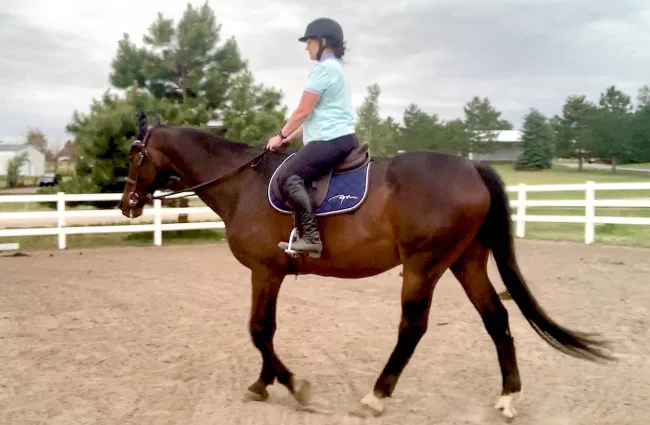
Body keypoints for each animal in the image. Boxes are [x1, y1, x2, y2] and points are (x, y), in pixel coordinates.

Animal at [118, 114, 614, 420]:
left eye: (134, 153)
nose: (127, 205)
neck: (244, 184)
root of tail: (472, 167)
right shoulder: (271, 274)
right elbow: (266, 330)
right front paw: (263, 384)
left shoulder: (264, 271)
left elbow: (259, 330)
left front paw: (294, 387)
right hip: (465, 261)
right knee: (497, 318)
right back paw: (509, 397)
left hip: (423, 265)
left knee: (412, 328)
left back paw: (376, 396)